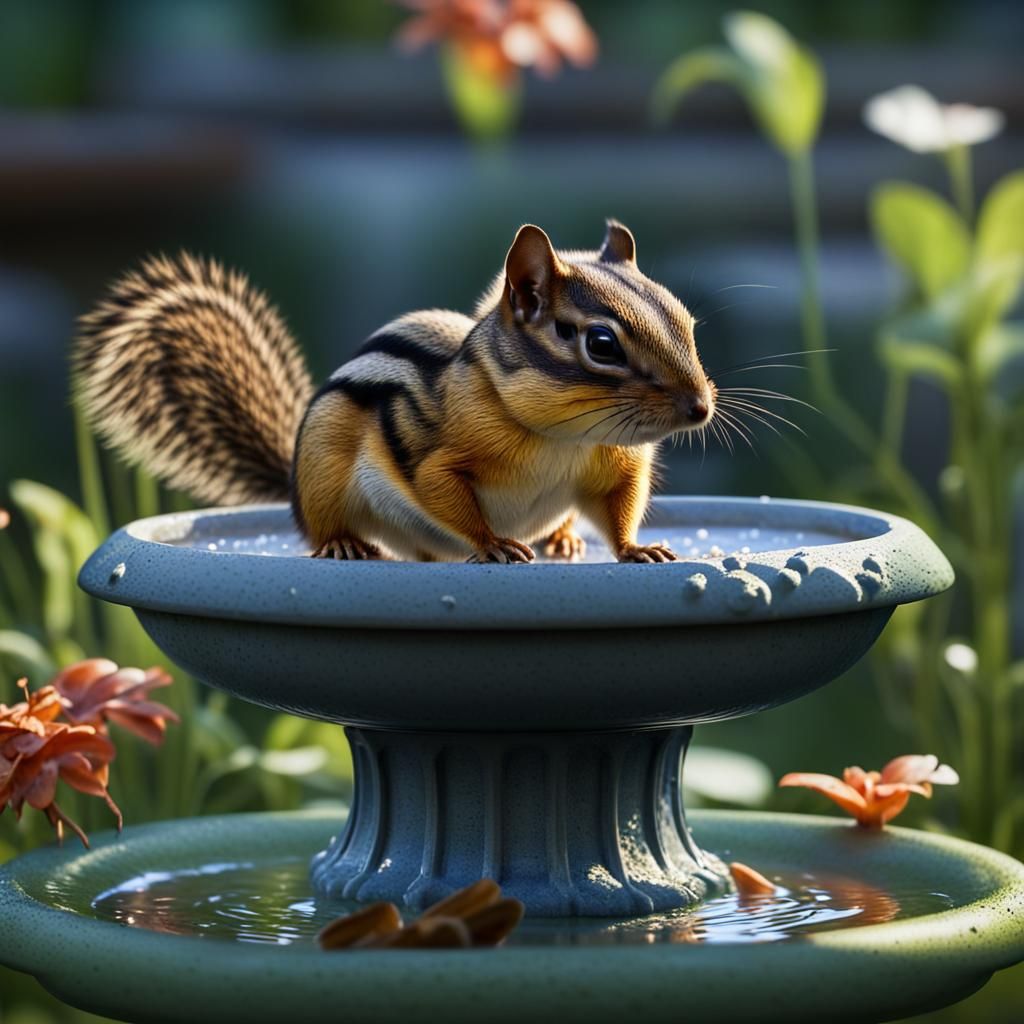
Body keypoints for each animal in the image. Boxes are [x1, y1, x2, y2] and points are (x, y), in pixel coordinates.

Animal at [73, 221, 715, 563]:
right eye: (602, 344)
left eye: (686, 322)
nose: (700, 407)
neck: (566, 436)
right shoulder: (437, 458)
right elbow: (445, 494)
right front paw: (494, 543)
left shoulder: (616, 467)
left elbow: (620, 510)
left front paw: (635, 549)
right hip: (324, 468)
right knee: (326, 525)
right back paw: (344, 544)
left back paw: (561, 536)